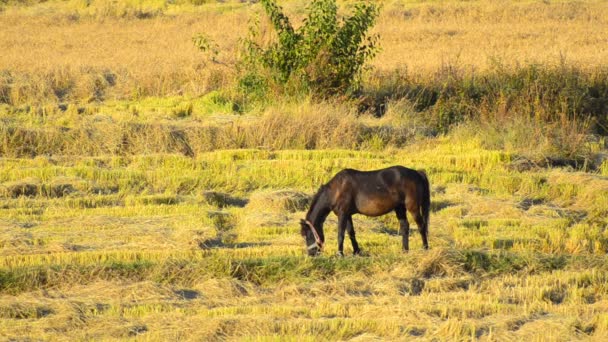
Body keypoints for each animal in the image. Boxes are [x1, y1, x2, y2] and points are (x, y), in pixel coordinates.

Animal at [300, 166, 428, 256]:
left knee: (421, 226)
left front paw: (340, 254)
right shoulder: (347, 215)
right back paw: (404, 250)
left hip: (413, 207)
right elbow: (351, 233)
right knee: (405, 227)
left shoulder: (342, 214)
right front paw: (356, 251)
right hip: (399, 208)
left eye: (307, 235)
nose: (311, 254)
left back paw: (425, 248)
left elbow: (341, 234)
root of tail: (417, 173)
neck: (336, 189)